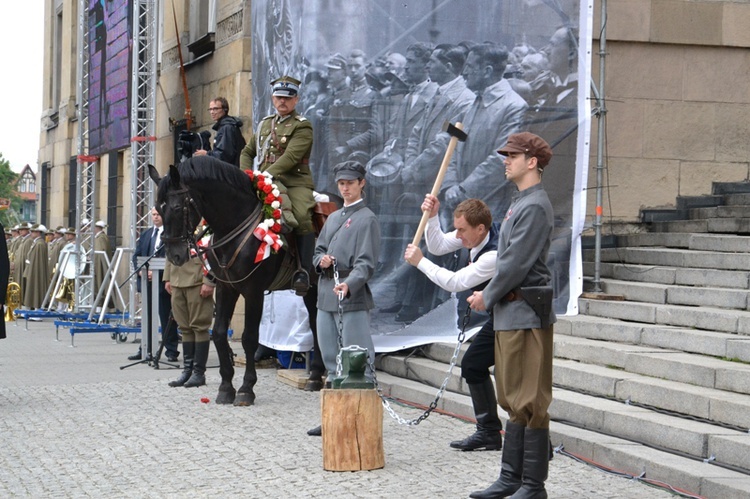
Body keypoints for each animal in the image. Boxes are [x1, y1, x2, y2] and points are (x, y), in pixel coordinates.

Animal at [148, 157, 324, 406]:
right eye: (158, 208)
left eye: (176, 207)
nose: (175, 256)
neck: (234, 226)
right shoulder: (226, 289)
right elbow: (220, 333)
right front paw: (225, 387)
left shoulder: (253, 291)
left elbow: (250, 338)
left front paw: (246, 388)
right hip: (311, 290)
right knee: (317, 324)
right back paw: (316, 376)